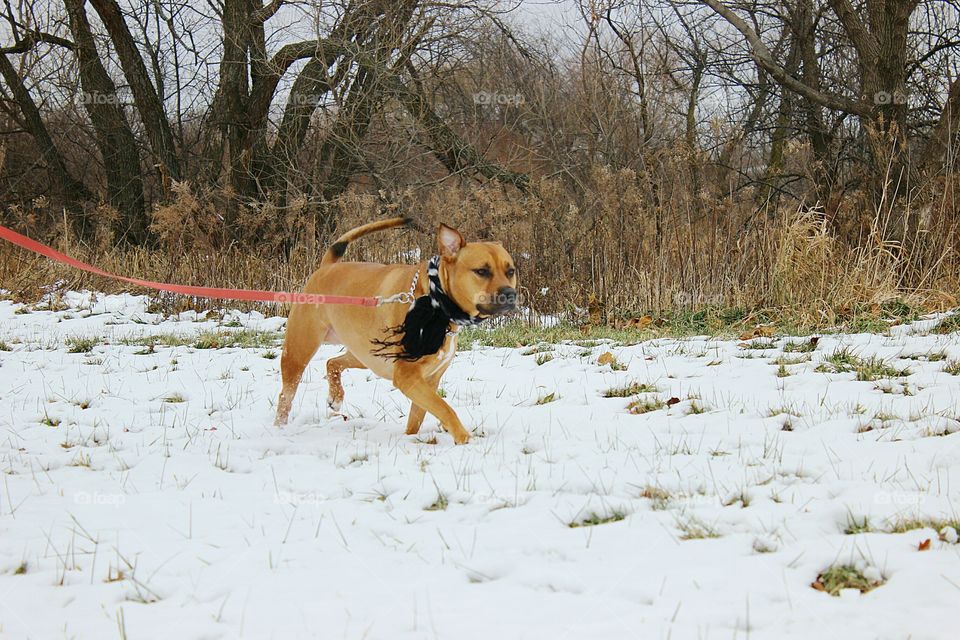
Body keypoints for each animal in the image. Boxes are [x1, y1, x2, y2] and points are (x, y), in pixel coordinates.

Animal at [274, 218, 516, 442]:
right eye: (481, 271)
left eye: (511, 271)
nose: (510, 294)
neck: (436, 302)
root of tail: (326, 267)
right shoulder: (407, 377)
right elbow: (445, 408)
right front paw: (464, 439)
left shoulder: (428, 380)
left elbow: (418, 416)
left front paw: (410, 438)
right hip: (298, 351)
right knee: (286, 395)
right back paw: (280, 429)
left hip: (366, 355)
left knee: (332, 362)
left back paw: (336, 396)